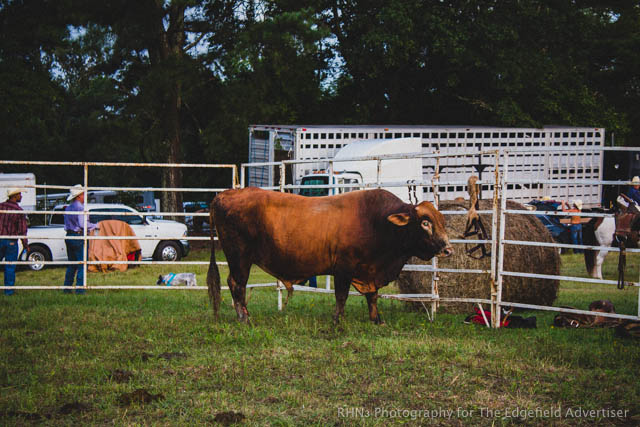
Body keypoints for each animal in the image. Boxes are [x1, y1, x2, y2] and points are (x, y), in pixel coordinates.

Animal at [208, 187, 452, 324]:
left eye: (442, 220)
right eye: (425, 222)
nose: (447, 249)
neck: (377, 221)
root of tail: (224, 195)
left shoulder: (369, 272)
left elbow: (372, 297)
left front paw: (376, 320)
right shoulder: (344, 268)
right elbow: (341, 296)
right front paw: (338, 320)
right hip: (239, 257)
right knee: (237, 284)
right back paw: (244, 318)